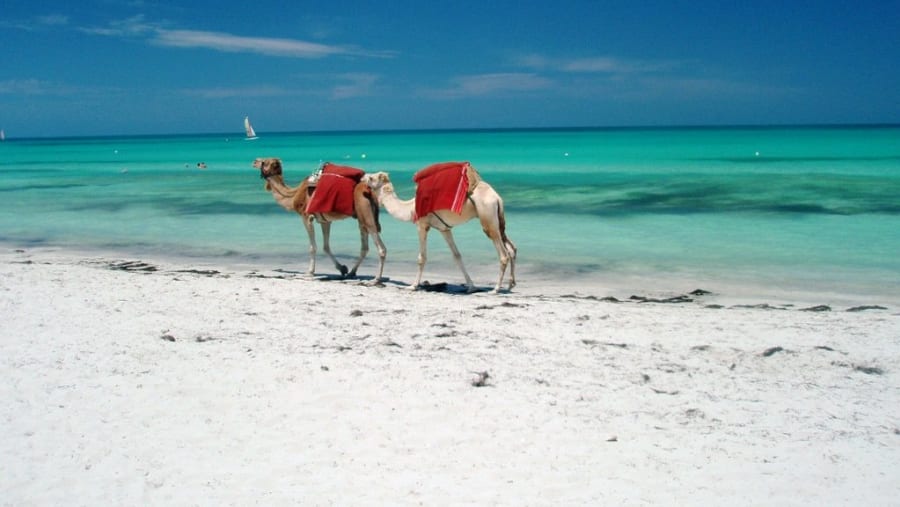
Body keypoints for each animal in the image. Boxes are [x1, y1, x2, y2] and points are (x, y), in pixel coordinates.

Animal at [253, 157, 386, 282]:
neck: (294, 195)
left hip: (366, 214)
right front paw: (342, 268)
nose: (254, 161)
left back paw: (376, 279)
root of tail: (369, 191)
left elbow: (313, 247)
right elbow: (326, 246)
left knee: (381, 247)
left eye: (264, 162)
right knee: (364, 247)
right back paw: (352, 273)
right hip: (361, 218)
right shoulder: (325, 220)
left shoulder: (306, 217)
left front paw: (310, 272)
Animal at [362, 162, 516, 293]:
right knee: (511, 248)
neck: (410, 208)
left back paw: (496, 289)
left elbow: (422, 257)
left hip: (487, 218)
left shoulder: (422, 225)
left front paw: (413, 286)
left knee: (503, 254)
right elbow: (457, 256)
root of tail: (497, 198)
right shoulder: (444, 229)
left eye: (371, 178)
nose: (363, 176)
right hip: (498, 221)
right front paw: (471, 287)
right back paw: (510, 285)